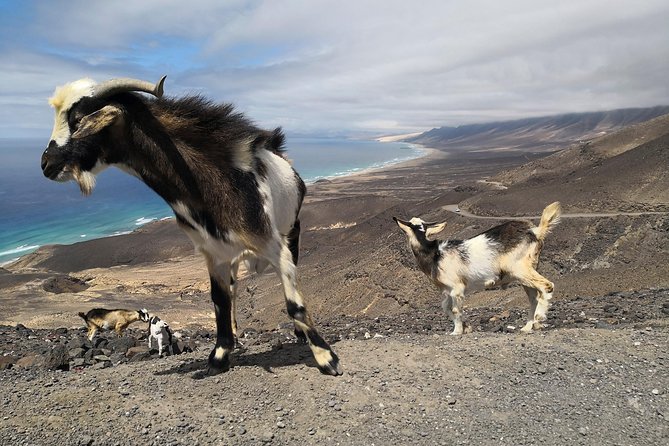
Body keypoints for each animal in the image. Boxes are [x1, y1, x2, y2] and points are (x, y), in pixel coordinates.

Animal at [38, 76, 340, 376]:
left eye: (78, 119)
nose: (46, 164)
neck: (214, 180)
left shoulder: (273, 245)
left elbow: (294, 305)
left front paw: (326, 358)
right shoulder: (214, 253)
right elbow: (219, 300)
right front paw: (220, 355)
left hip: (292, 230)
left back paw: (299, 336)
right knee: (233, 291)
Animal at [394, 202, 560, 334]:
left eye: (410, 225)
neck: (435, 253)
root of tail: (535, 231)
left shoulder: (457, 287)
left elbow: (455, 309)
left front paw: (457, 332)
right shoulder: (447, 290)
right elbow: (446, 308)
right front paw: (465, 327)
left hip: (520, 269)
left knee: (546, 286)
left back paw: (539, 319)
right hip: (526, 273)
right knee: (533, 298)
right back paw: (527, 327)